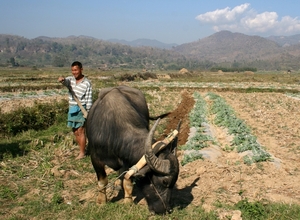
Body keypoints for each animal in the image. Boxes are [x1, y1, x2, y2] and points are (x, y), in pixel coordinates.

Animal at [85, 85, 179, 214]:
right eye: (165, 181)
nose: (167, 210)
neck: (113, 132)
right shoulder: (95, 158)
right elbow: (102, 181)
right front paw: (101, 202)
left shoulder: (127, 161)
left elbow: (127, 181)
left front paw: (127, 201)